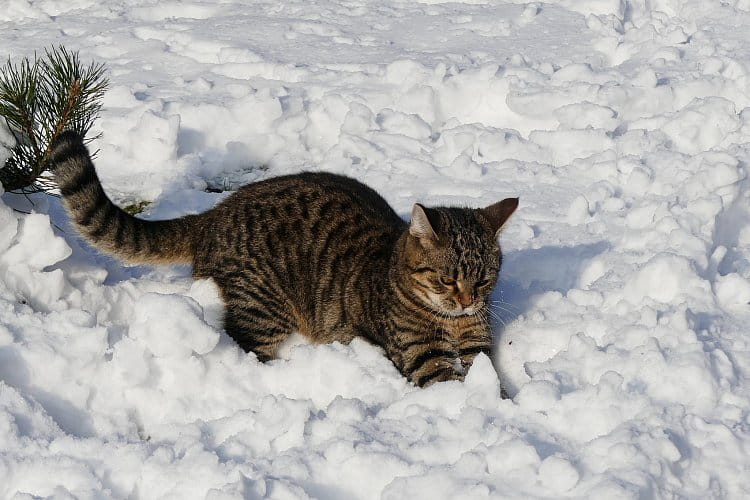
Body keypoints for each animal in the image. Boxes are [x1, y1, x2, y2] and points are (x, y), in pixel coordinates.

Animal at [47, 132, 516, 390]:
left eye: (484, 280)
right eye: (447, 280)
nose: (468, 302)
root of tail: (216, 213)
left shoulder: (476, 345)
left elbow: (486, 377)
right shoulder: (422, 354)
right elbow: (450, 384)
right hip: (265, 307)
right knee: (243, 343)